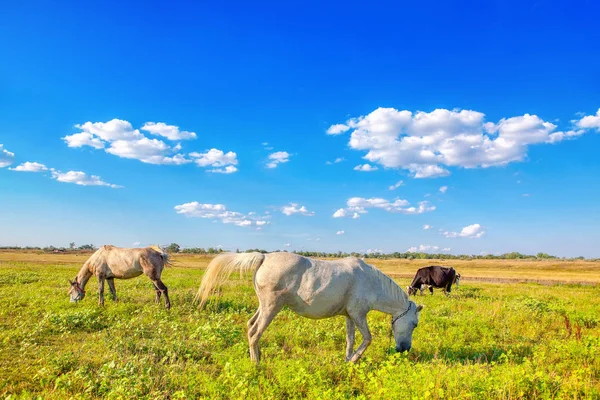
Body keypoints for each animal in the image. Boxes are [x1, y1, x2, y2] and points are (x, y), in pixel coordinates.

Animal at [196, 253, 422, 362]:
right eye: (414, 324)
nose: (404, 349)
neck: (370, 282)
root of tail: (264, 257)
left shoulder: (350, 316)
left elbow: (350, 340)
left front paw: (347, 359)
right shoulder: (358, 315)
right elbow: (367, 339)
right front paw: (354, 361)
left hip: (263, 306)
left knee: (250, 326)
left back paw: (258, 357)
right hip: (271, 307)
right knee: (255, 332)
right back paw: (256, 365)